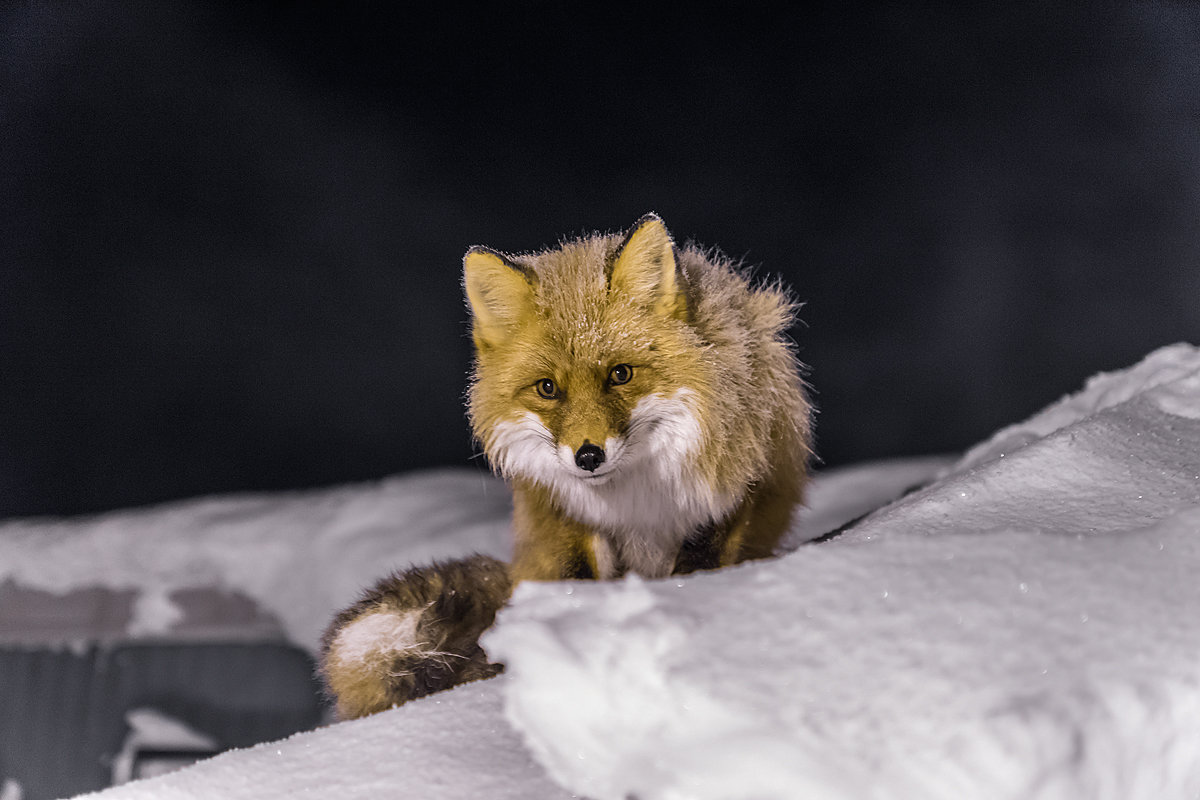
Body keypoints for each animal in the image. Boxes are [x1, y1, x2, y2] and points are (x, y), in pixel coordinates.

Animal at [316, 214, 816, 719]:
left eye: (620, 374)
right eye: (547, 388)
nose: (588, 457)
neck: (638, 498)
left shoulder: (733, 492)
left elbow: (699, 568)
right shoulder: (567, 519)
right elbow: (578, 589)